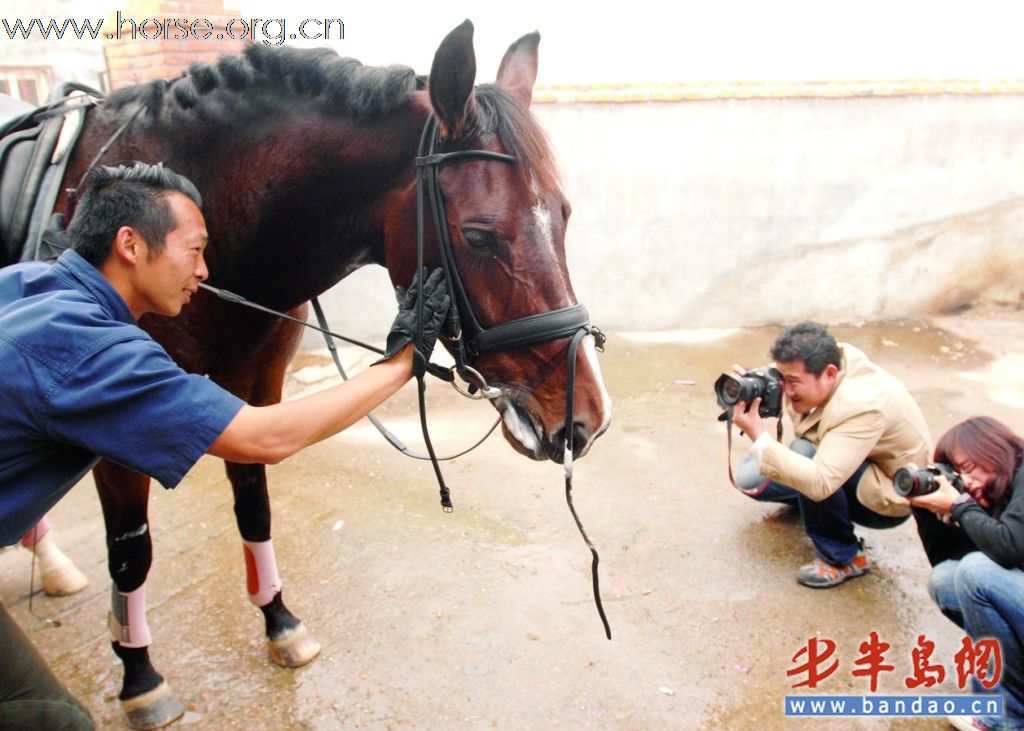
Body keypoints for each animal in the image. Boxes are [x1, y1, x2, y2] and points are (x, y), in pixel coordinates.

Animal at [51, 19, 606, 724]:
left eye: (563, 215)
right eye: (480, 236)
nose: (587, 417)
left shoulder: (255, 398)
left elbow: (255, 508)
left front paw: (280, 623)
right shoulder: (114, 422)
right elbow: (131, 555)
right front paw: (140, 677)